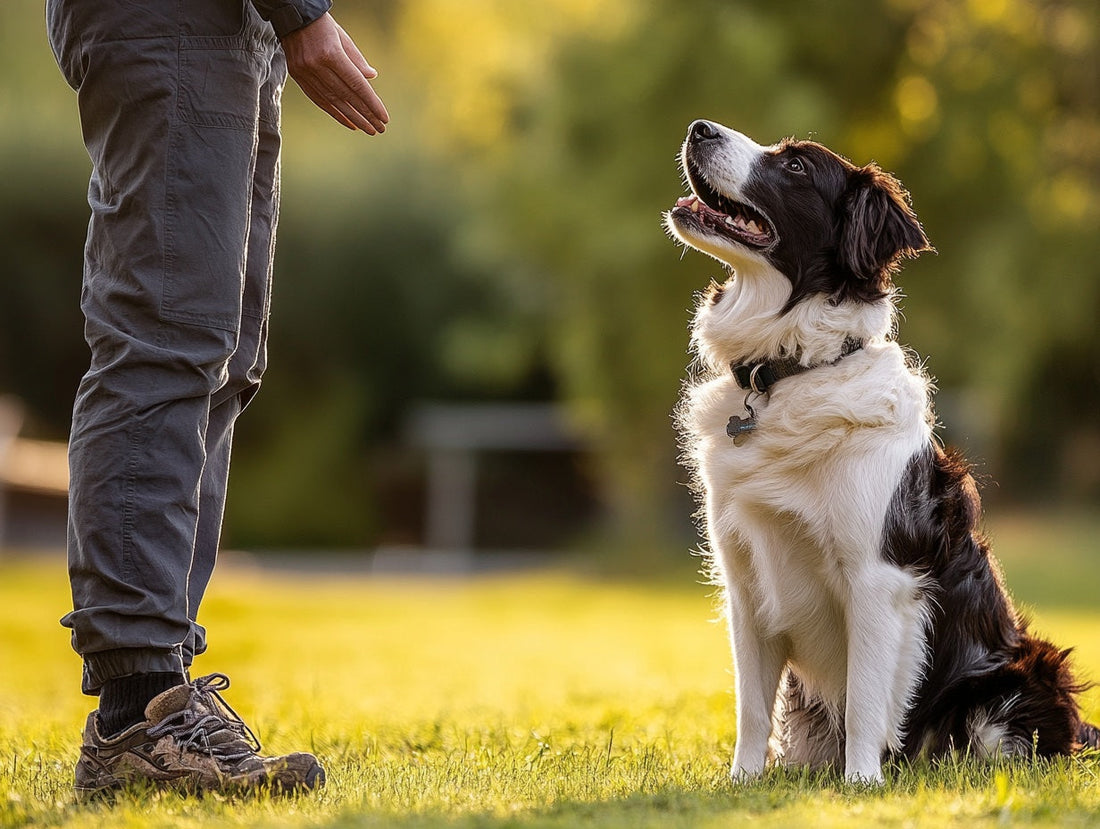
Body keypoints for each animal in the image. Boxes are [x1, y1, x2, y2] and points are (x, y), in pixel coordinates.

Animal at [664, 117, 1095, 782]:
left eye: (795, 166)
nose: (698, 128)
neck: (786, 372)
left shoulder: (876, 577)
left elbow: (866, 696)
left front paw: (862, 783)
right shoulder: (745, 583)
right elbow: (752, 706)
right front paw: (743, 782)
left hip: (1019, 681)